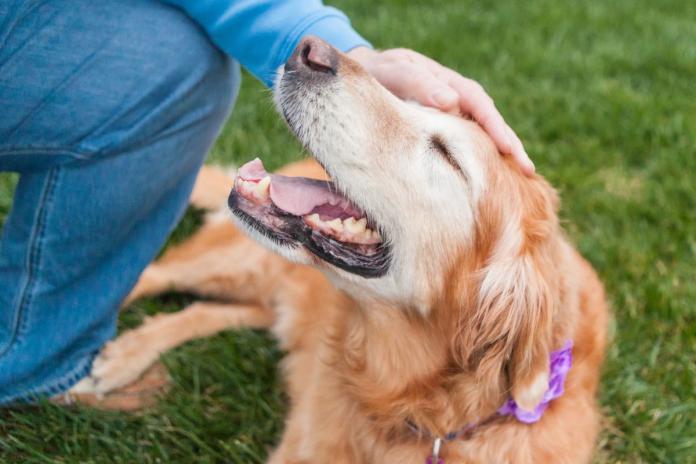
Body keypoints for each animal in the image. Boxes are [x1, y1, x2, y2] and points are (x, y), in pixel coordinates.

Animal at [68, 37, 608, 464]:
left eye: (446, 154)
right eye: (413, 101)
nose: (310, 50)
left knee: (208, 310)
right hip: (239, 262)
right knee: (147, 275)